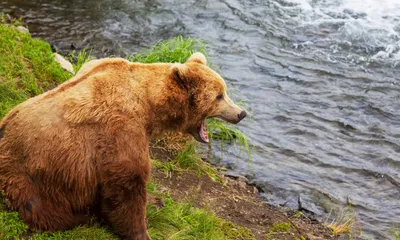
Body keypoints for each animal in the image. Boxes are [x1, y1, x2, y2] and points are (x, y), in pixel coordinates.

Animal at [0, 51, 244, 239]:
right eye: (219, 96)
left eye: (225, 91)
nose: (241, 113)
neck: (149, 105)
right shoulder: (120, 129)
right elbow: (127, 184)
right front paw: (141, 231)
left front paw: (155, 201)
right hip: (37, 176)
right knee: (46, 212)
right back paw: (82, 217)